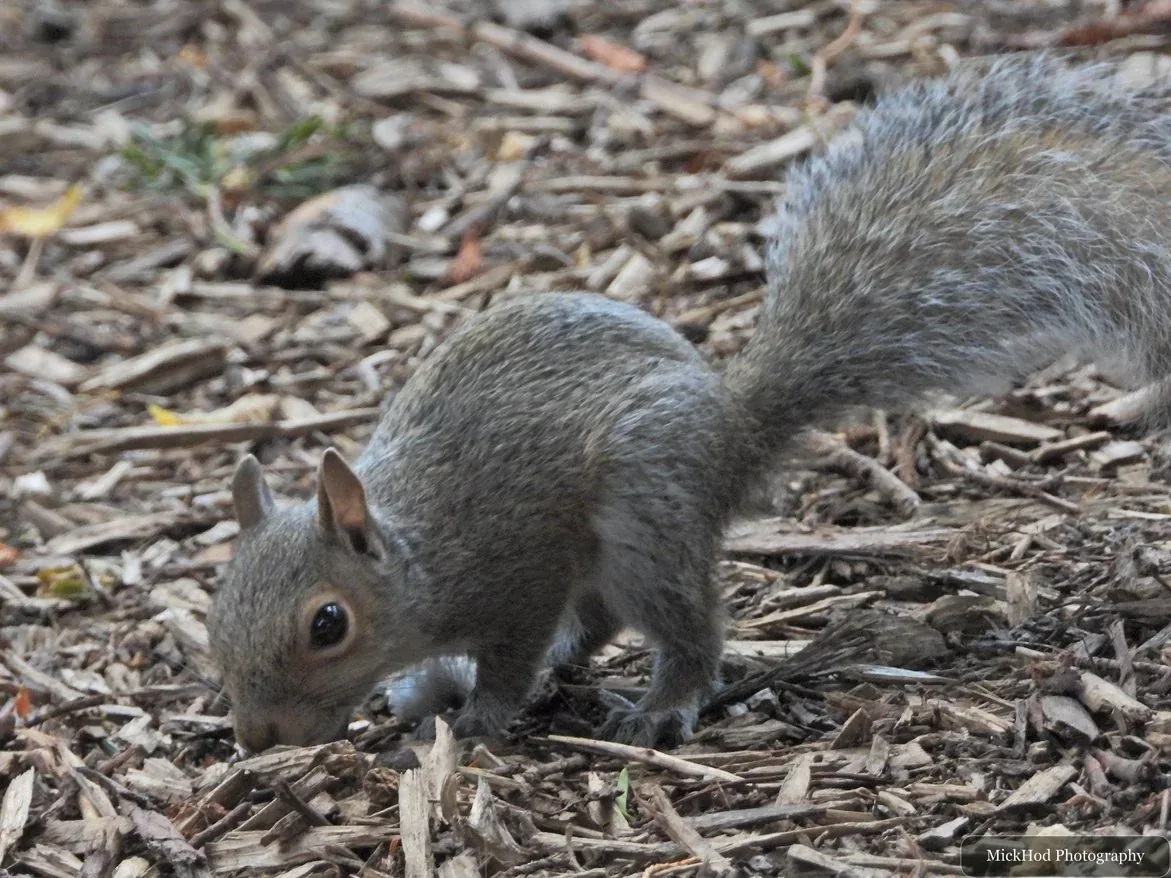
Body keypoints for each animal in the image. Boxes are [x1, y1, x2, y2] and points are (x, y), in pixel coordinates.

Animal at [208, 54, 1171, 751]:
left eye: (327, 624)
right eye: (217, 606)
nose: (257, 739)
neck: (417, 559)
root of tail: (732, 431)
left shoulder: (518, 576)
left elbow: (512, 659)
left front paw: (475, 721)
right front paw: (427, 688)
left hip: (646, 506)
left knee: (683, 627)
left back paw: (661, 706)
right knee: (600, 620)